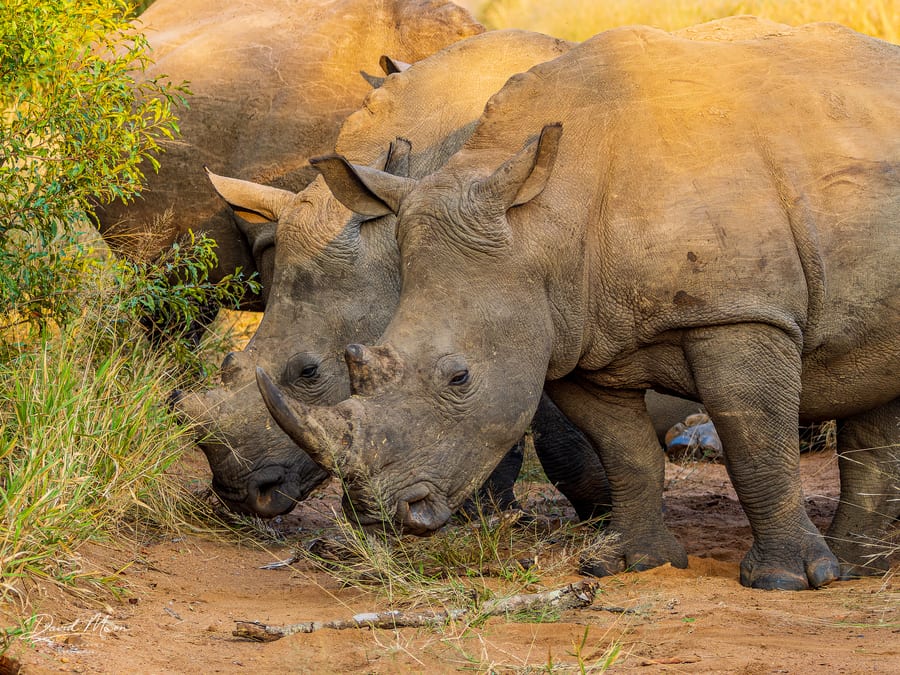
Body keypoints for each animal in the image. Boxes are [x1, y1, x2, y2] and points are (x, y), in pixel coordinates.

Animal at [259, 20, 900, 589]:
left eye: (460, 378)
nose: (383, 514)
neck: (542, 223)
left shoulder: (739, 311)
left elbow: (756, 444)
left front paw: (785, 581)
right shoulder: (575, 339)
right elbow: (627, 452)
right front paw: (633, 563)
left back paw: (847, 570)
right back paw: (862, 568)